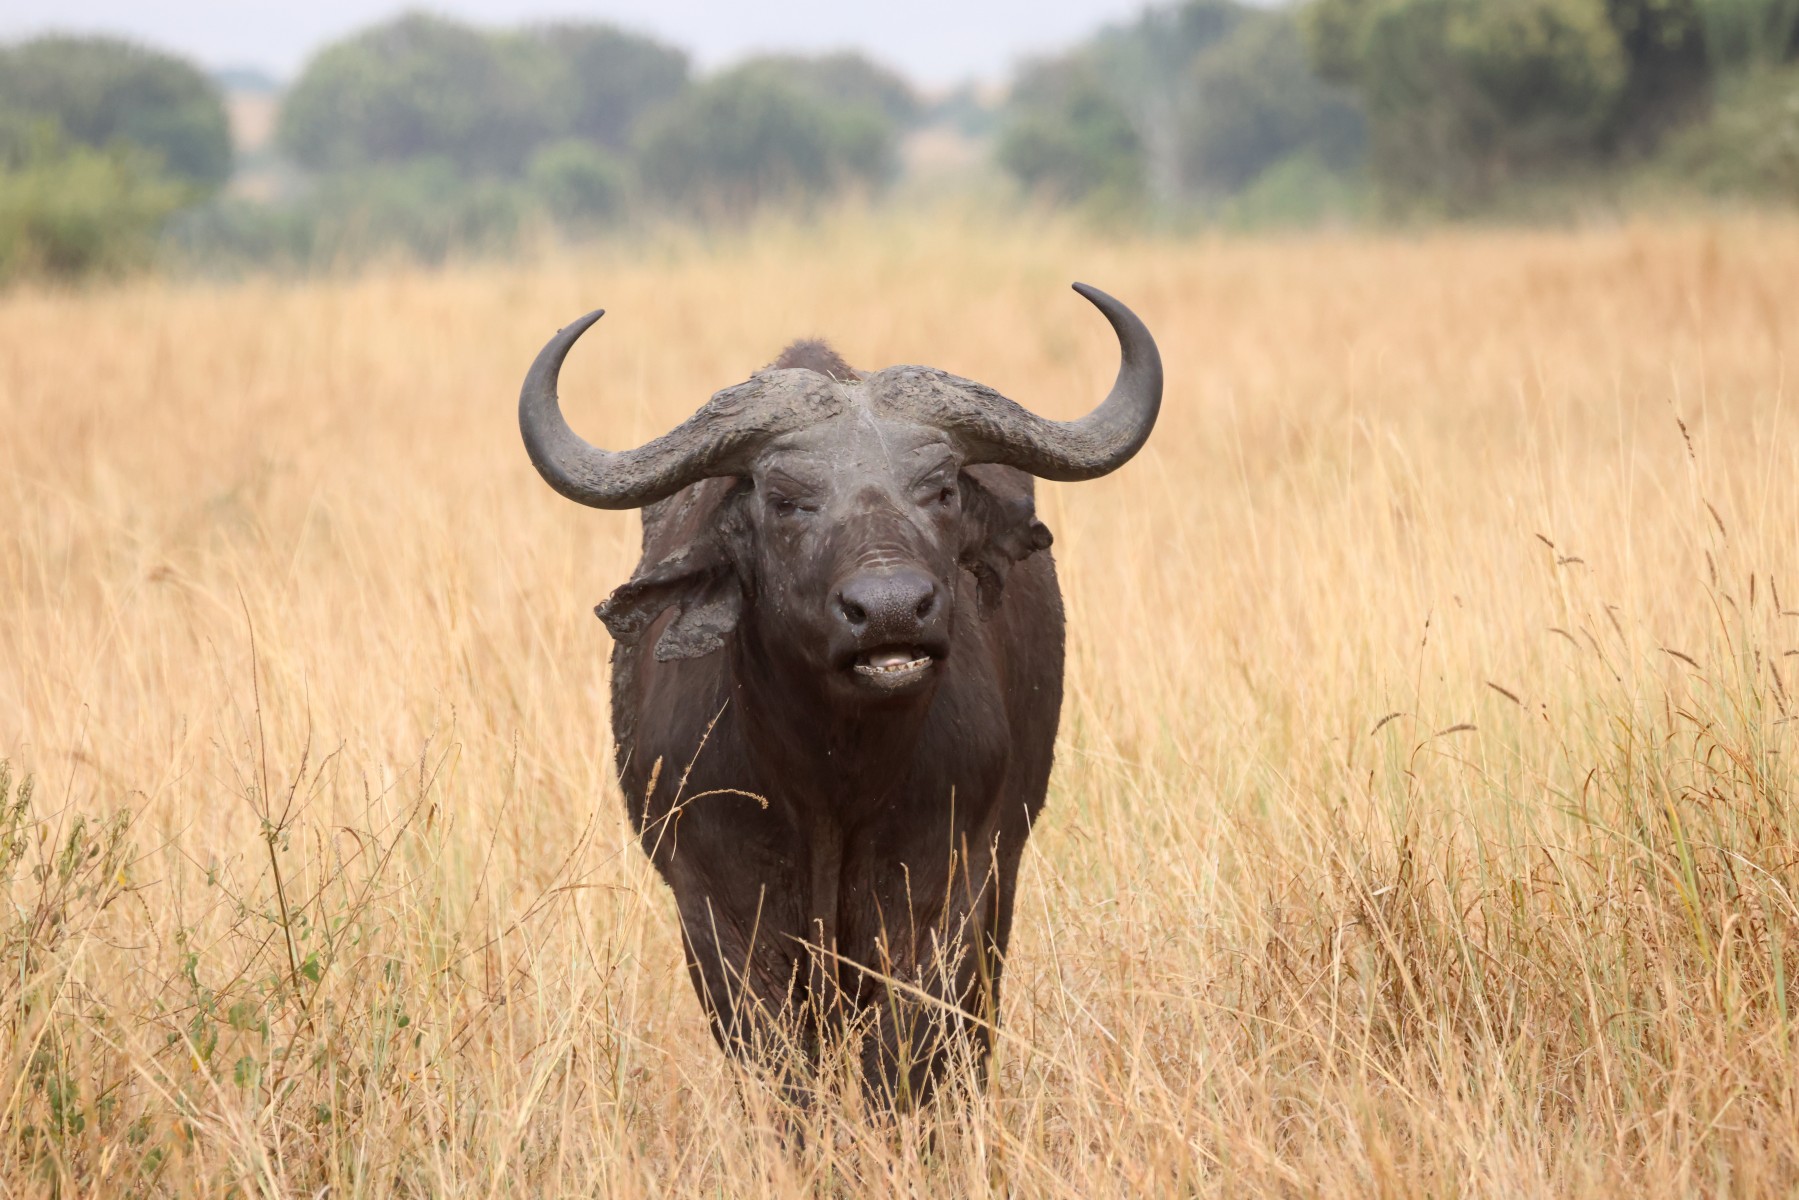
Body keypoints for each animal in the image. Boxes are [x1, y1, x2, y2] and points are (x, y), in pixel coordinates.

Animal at [518, 284, 1162, 1108]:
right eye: (787, 499)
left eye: (940, 489)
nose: (890, 610)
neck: (832, 776)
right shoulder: (717, 912)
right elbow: (783, 1069)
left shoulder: (948, 889)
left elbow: (907, 1055)